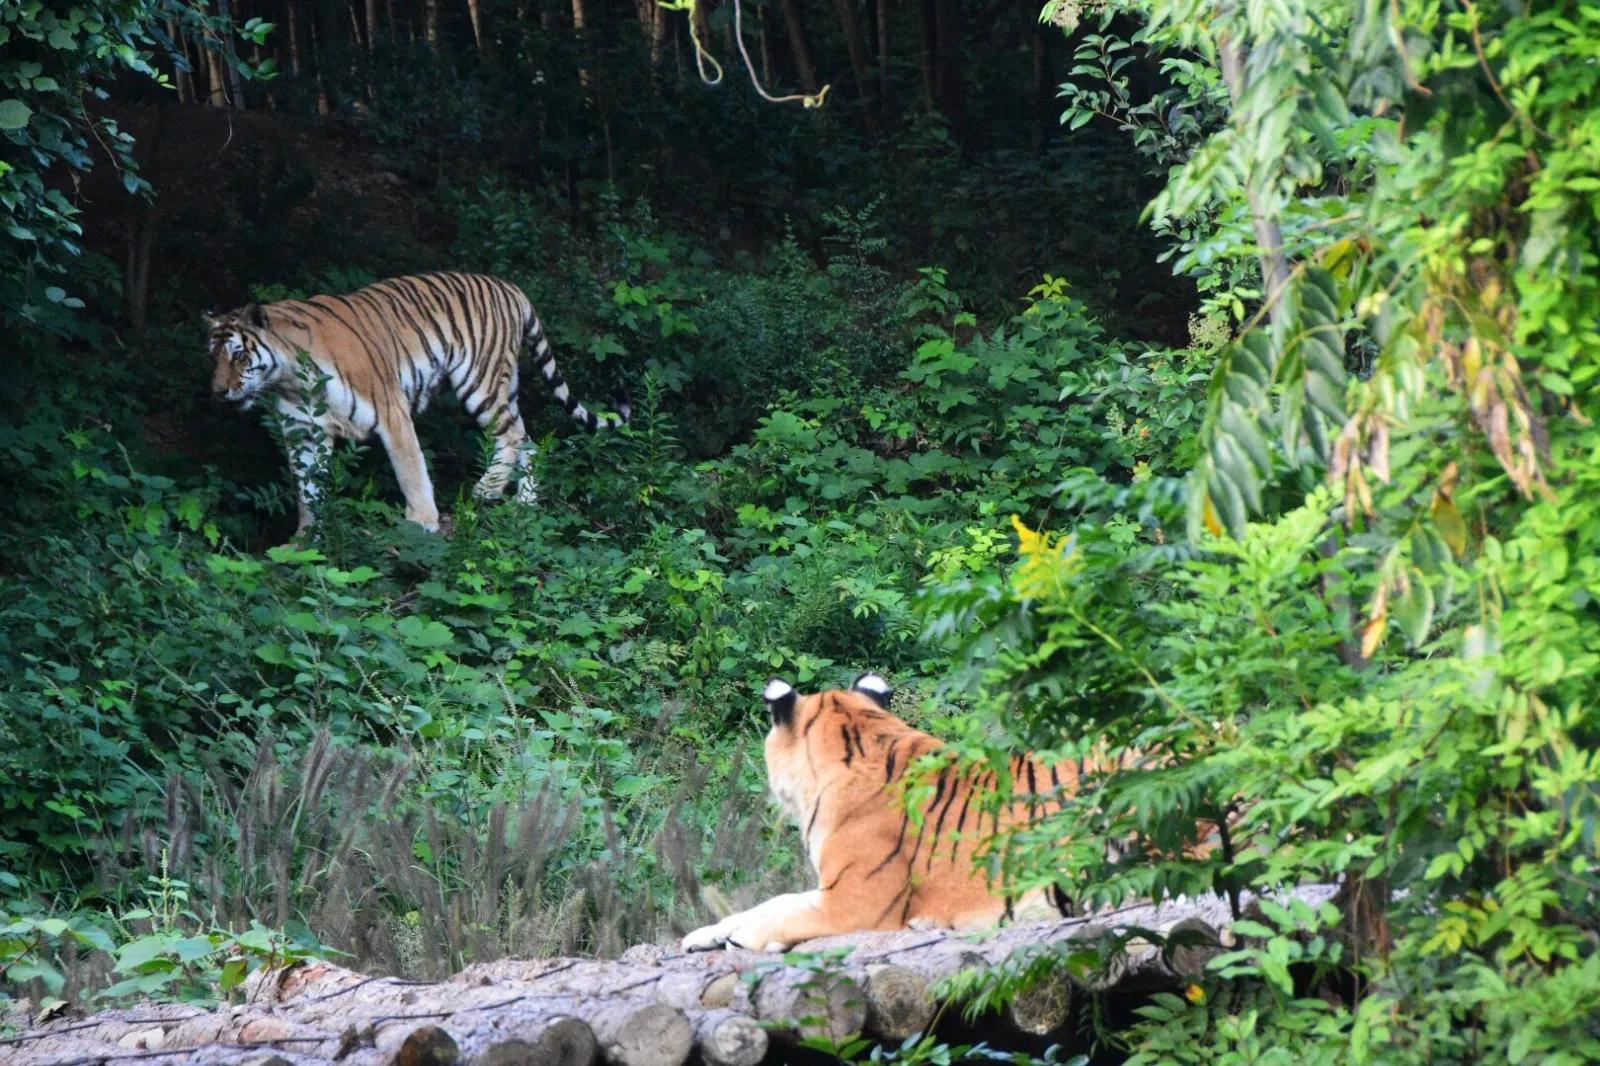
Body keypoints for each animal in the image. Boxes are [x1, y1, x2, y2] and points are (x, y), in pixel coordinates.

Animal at [201, 270, 624, 534]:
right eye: (213, 357)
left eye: (238, 355)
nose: (218, 393)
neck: (289, 379)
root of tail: (509, 286)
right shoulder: (303, 434)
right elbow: (307, 490)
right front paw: (304, 540)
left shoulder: (391, 411)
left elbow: (411, 470)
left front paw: (421, 521)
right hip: (503, 386)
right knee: (530, 441)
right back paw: (523, 503)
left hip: (482, 382)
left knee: (512, 435)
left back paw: (486, 489)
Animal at [681, 672, 1145, 947]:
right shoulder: (830, 888)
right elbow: (773, 902)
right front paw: (706, 933)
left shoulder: (851, 904)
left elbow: (780, 916)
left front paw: (743, 937)